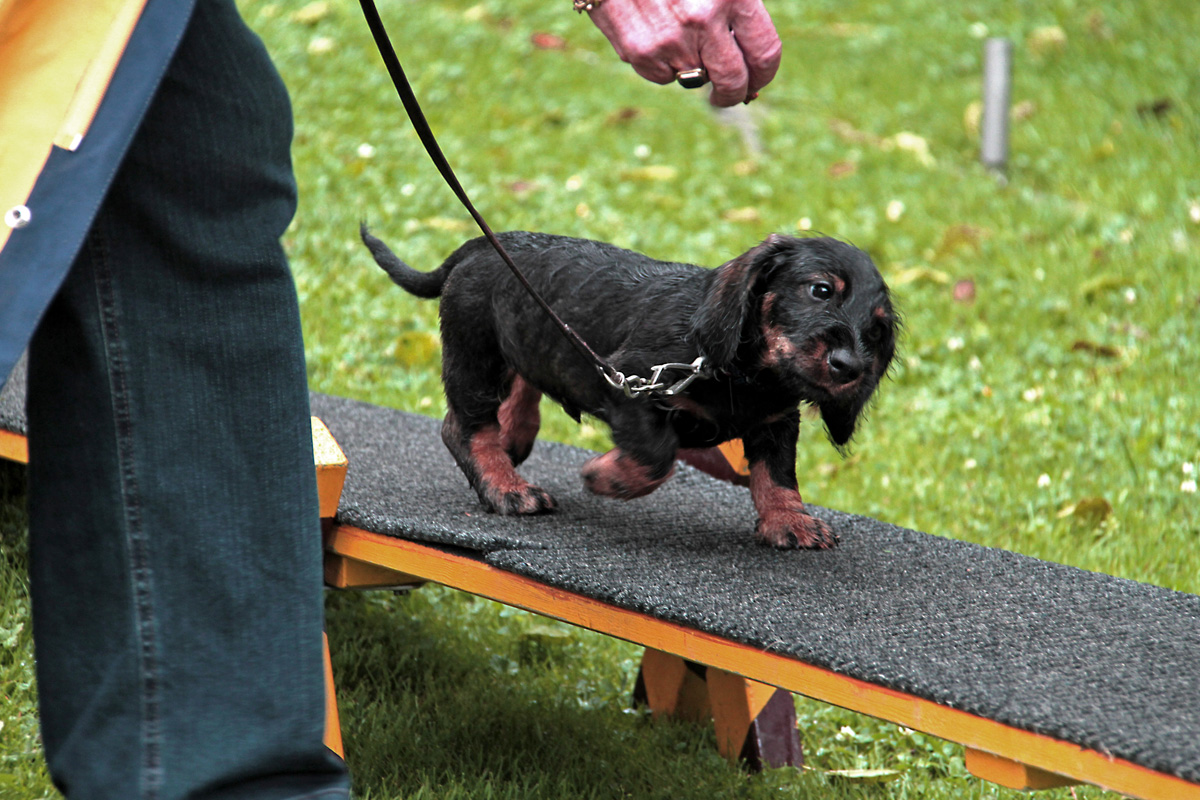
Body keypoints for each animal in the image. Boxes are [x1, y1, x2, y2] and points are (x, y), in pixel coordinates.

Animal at [360, 227, 897, 546]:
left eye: (876, 330)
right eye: (820, 290)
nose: (849, 366)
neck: (748, 375)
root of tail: (480, 245)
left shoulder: (776, 422)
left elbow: (778, 475)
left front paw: (789, 521)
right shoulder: (632, 384)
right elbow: (657, 456)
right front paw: (606, 477)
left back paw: (514, 437)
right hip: (473, 353)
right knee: (465, 427)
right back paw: (507, 488)